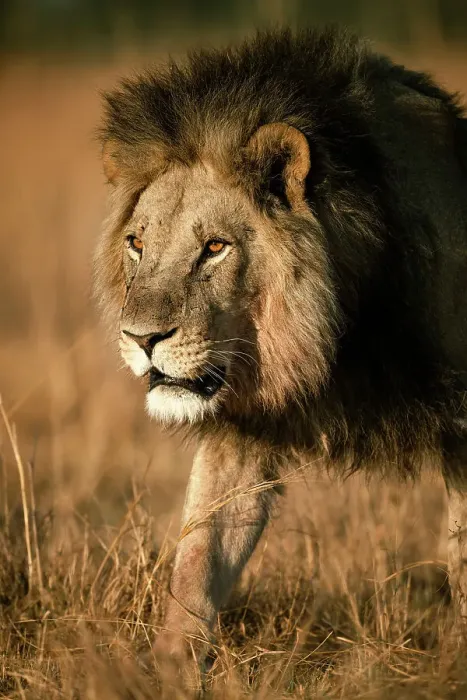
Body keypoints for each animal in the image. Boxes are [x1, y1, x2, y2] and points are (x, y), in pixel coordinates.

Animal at [95, 27, 467, 673]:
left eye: (215, 247)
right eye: (137, 243)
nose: (141, 340)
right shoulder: (240, 427)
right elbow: (200, 550)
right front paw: (169, 667)